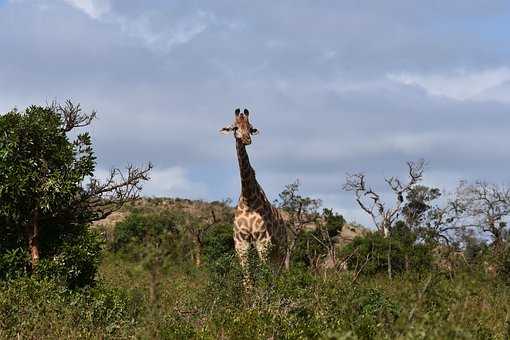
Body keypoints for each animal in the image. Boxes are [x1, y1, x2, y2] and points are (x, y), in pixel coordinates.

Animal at [221, 107, 288, 286]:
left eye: (251, 128)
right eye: (235, 127)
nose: (247, 139)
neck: (248, 198)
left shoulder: (263, 242)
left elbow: (264, 278)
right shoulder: (241, 244)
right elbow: (248, 281)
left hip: (282, 250)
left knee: (279, 275)